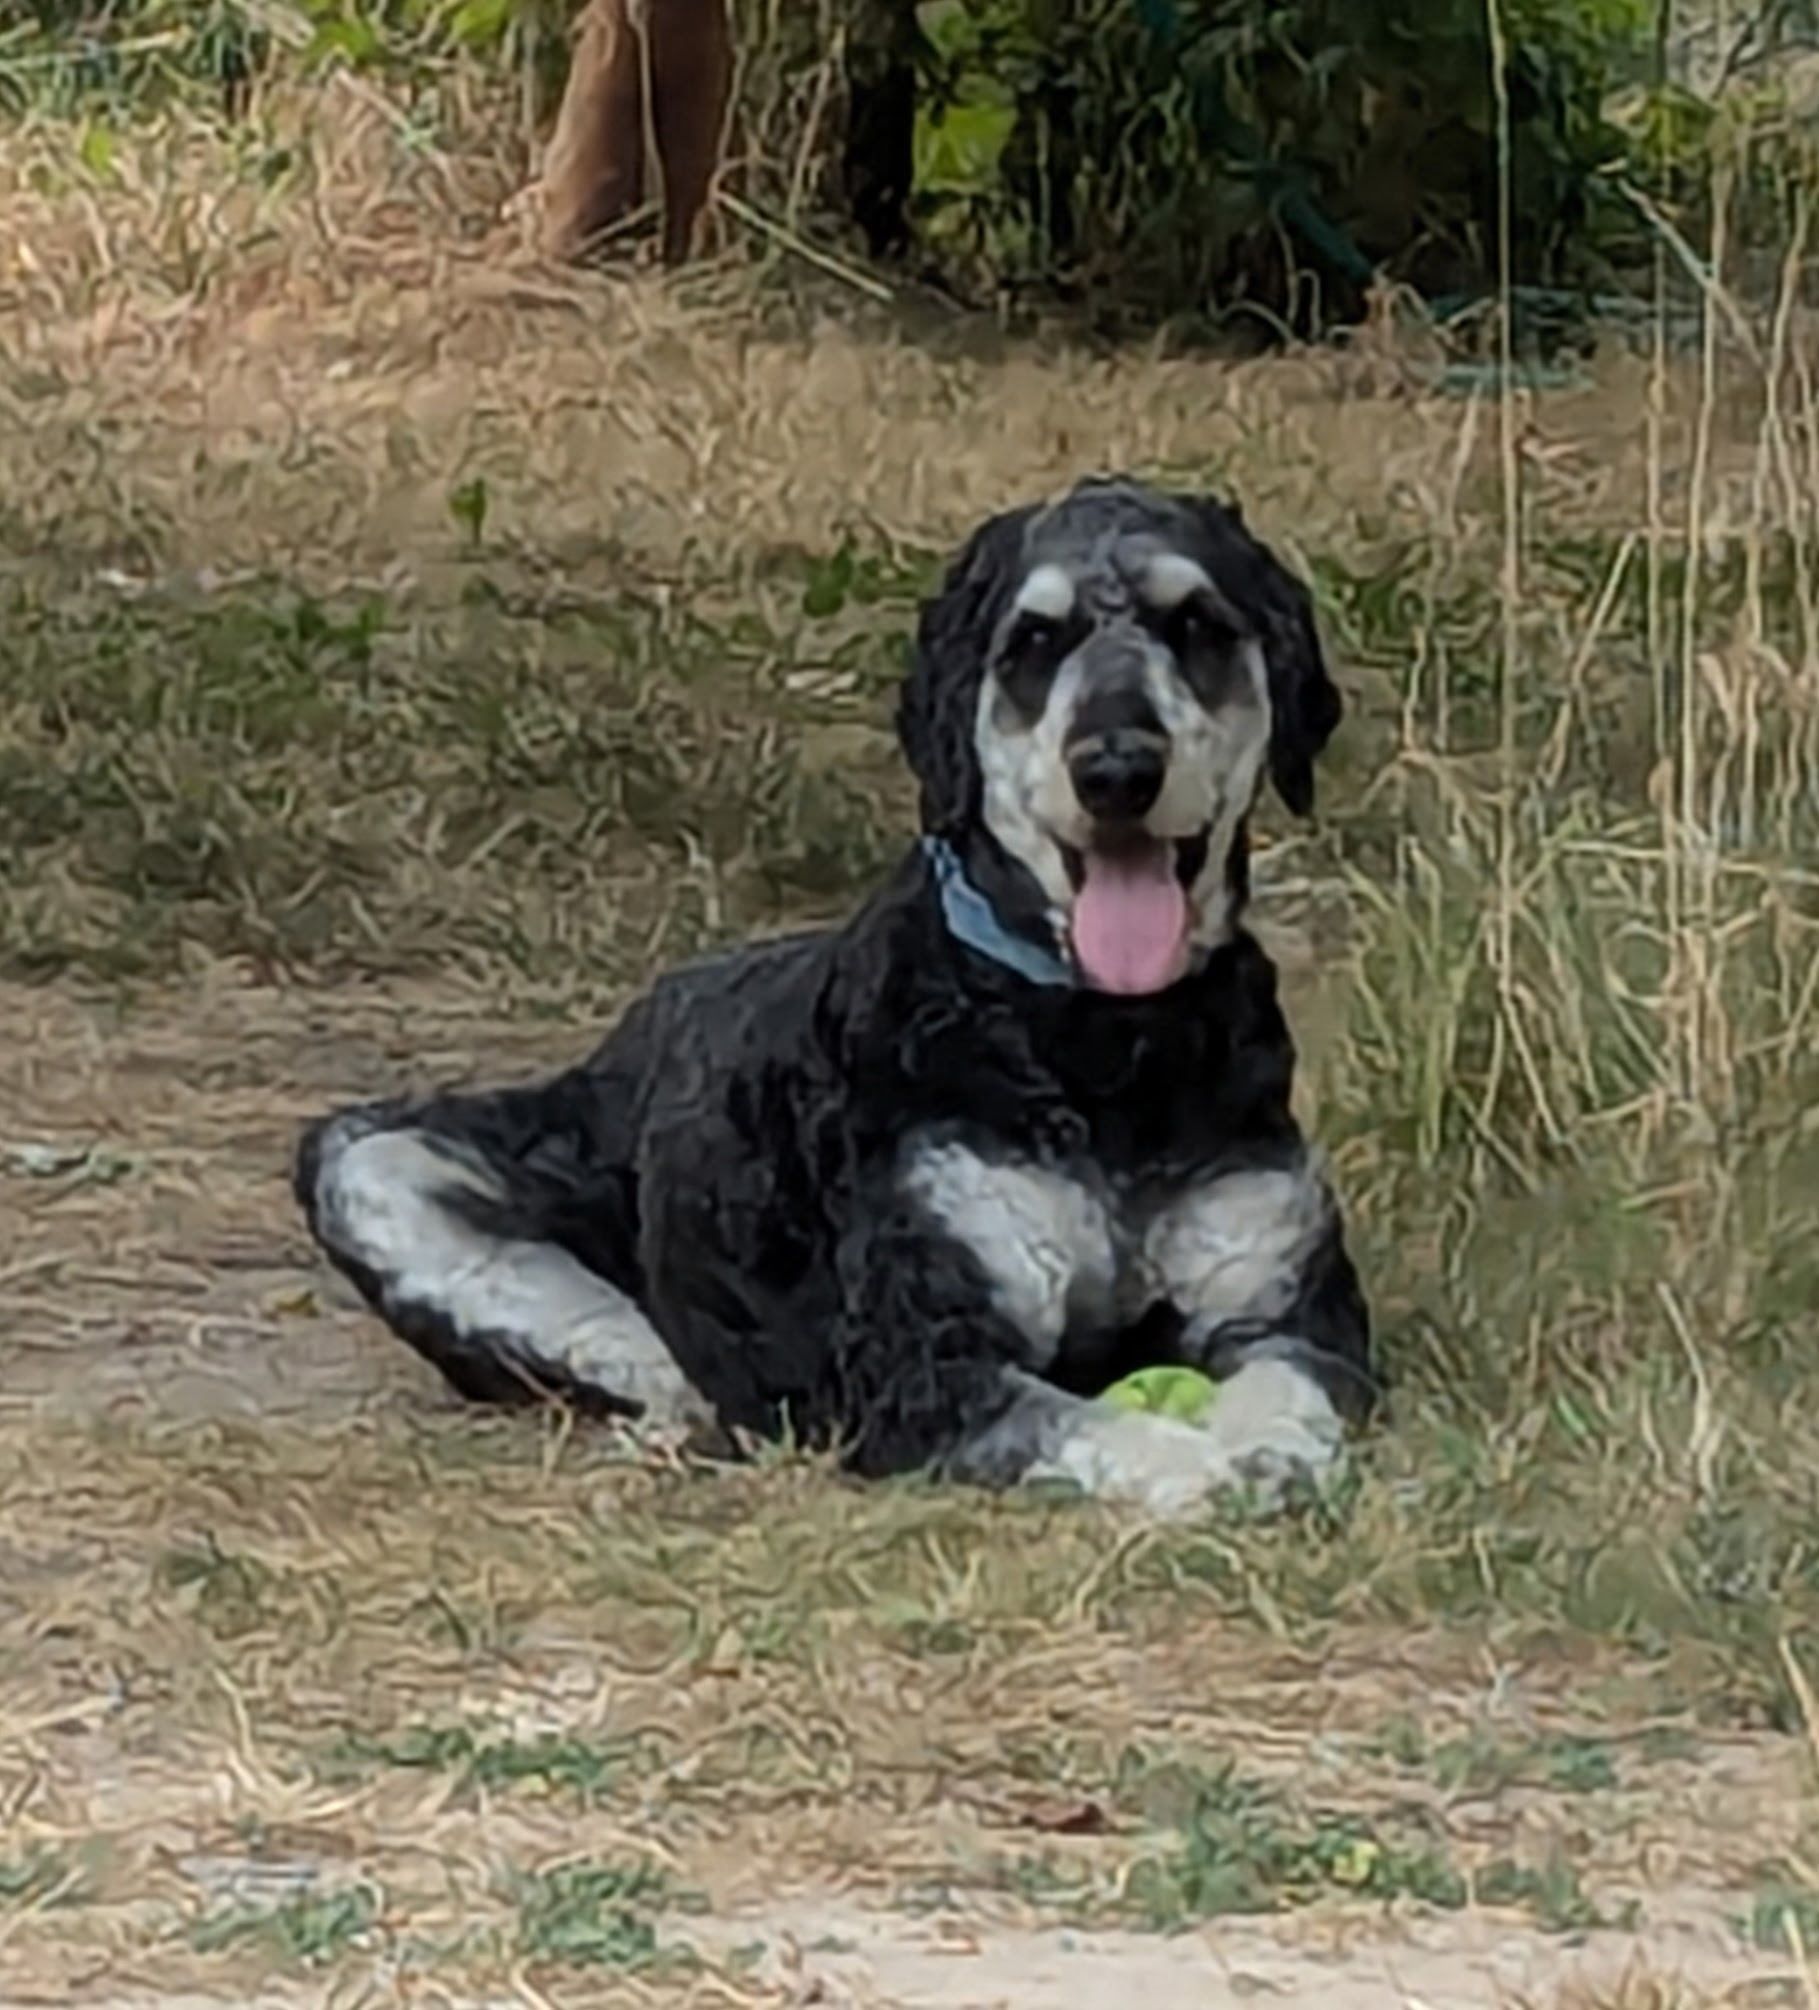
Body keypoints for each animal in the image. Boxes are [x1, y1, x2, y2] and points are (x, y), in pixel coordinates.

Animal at [294, 477, 1378, 1516]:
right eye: (1032, 643)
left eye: (1196, 623)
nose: (1116, 768)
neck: (1106, 1046)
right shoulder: (914, 1362)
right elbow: (1090, 1421)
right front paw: (1199, 1465)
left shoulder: (1285, 1312)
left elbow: (1290, 1387)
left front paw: (1272, 1450)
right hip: (367, 1163)